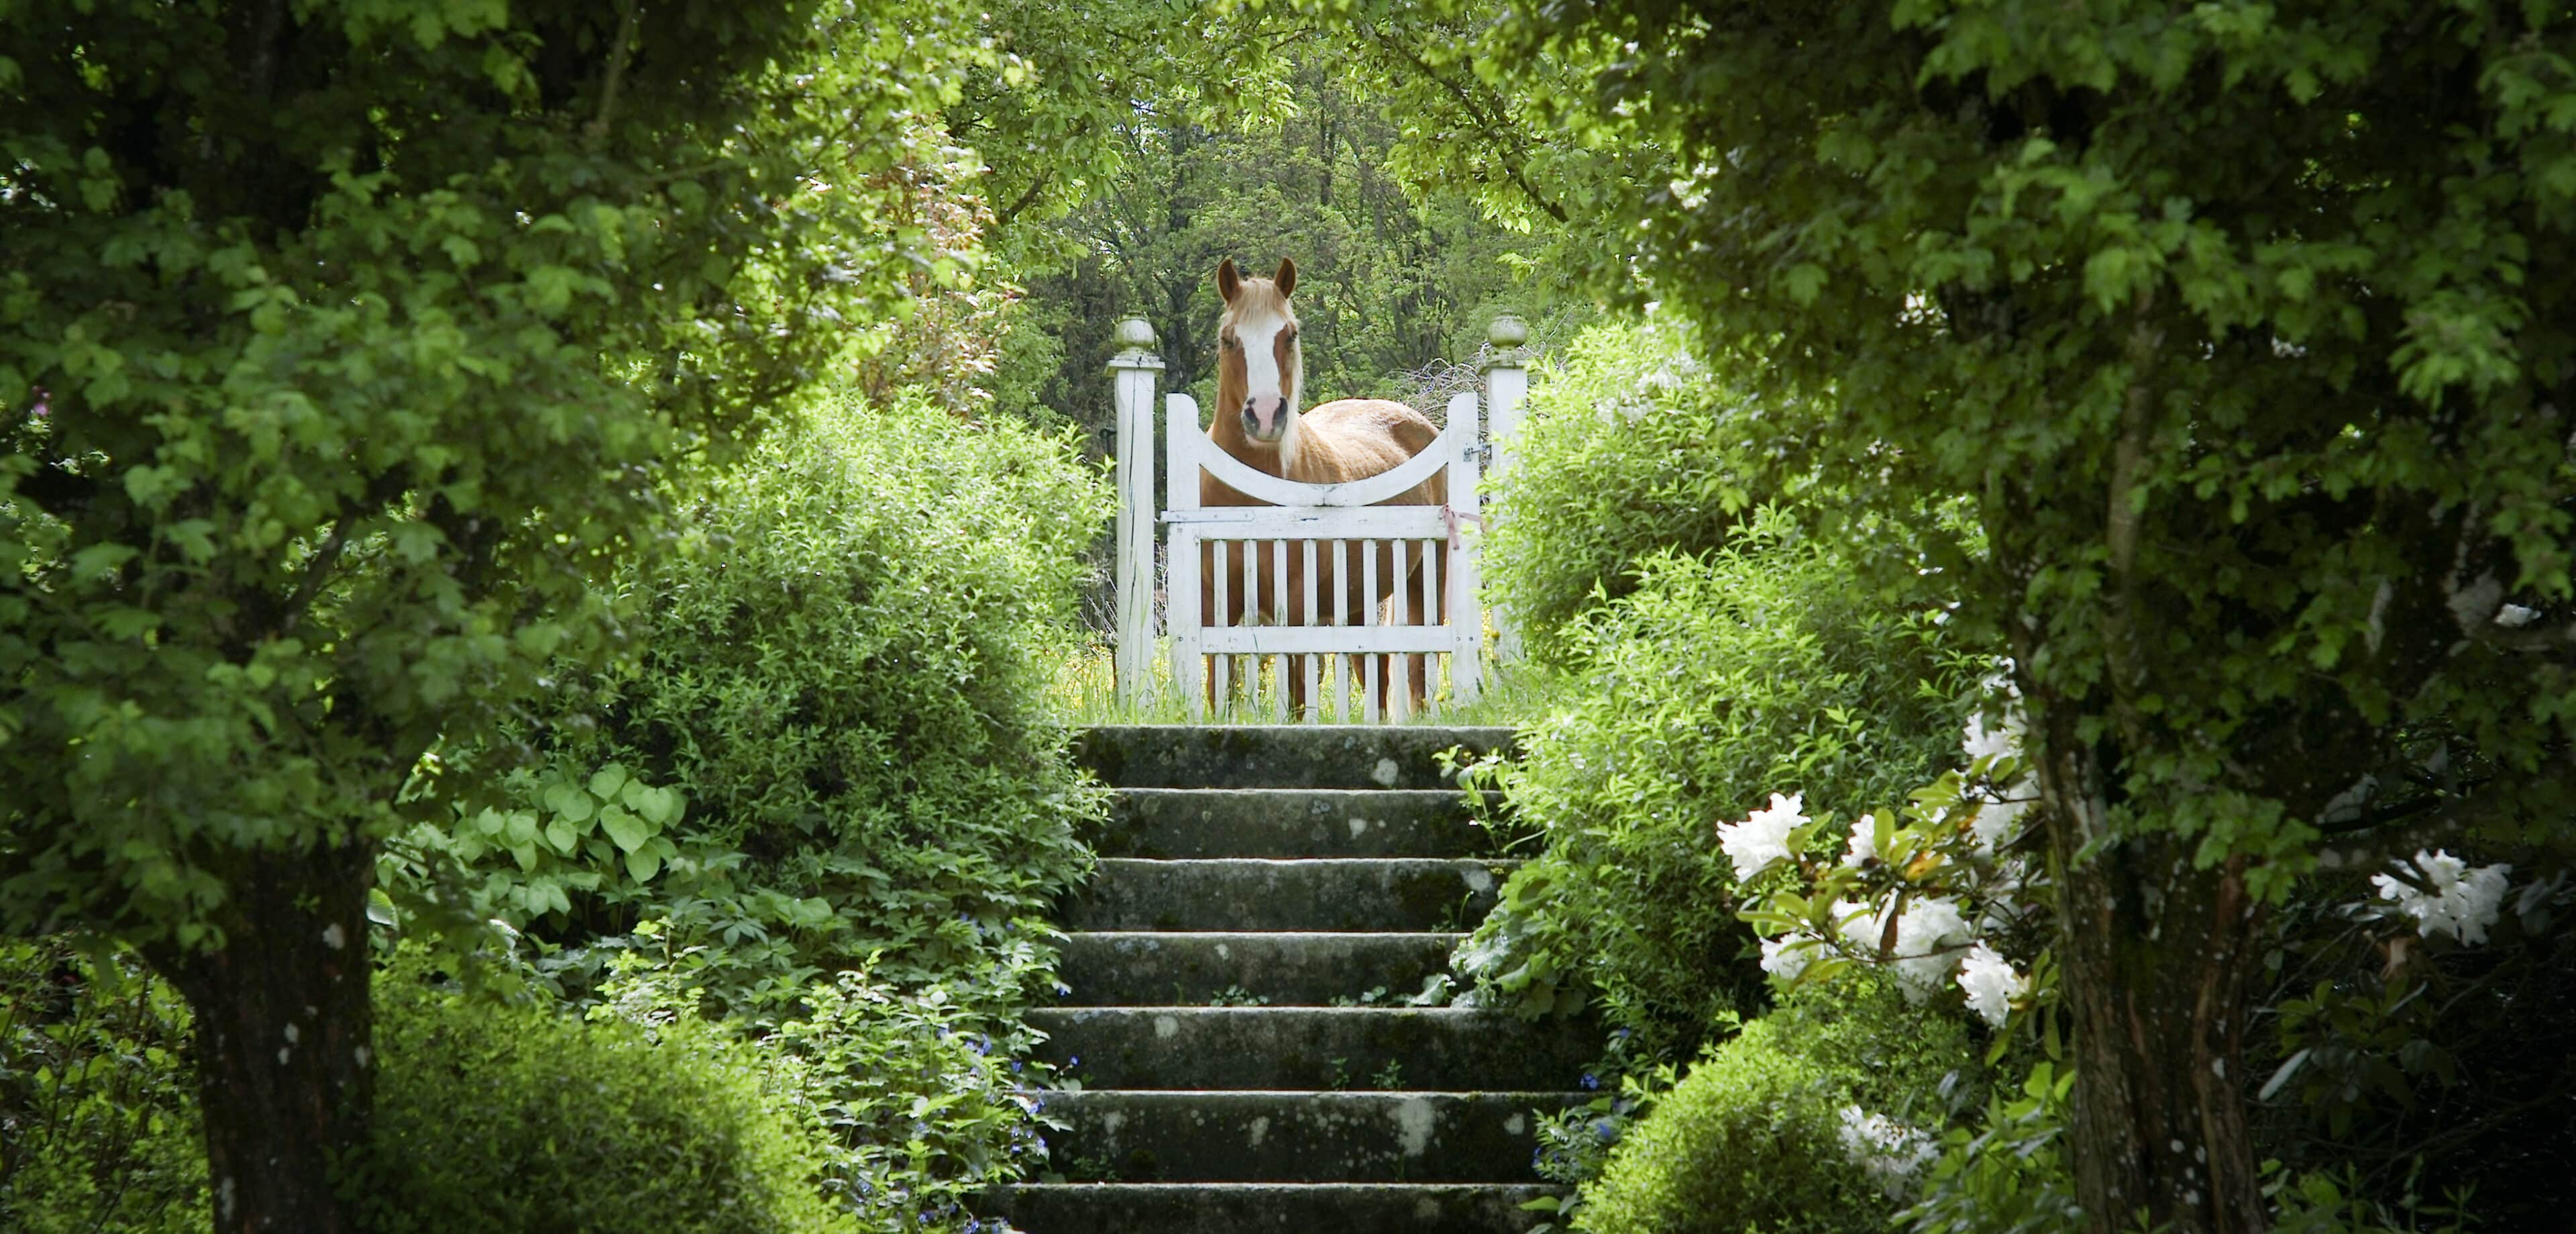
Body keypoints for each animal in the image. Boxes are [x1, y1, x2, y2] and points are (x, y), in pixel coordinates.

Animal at [1198, 256, 1445, 716]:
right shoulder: (1215, 606)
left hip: (1427, 584)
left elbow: (1297, 695)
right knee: (1377, 676)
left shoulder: (1297, 608)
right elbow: (1218, 690)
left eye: (1289, 335)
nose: (1265, 416)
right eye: (1229, 339)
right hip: (1359, 600)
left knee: (1420, 671)